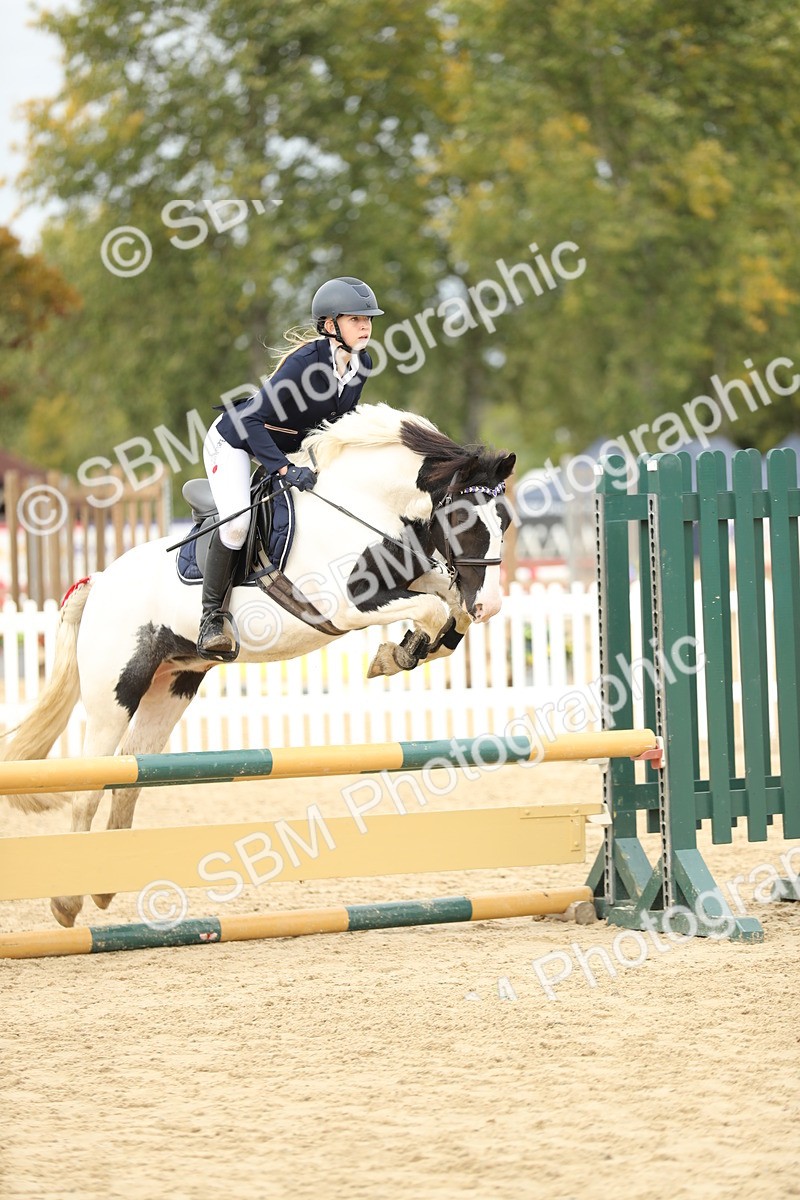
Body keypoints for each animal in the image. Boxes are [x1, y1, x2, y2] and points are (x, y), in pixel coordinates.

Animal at [1, 403, 515, 926]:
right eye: (461, 519)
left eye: (504, 522)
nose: (491, 605)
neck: (368, 506)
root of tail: (99, 581)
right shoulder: (348, 607)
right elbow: (432, 610)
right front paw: (399, 653)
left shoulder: (423, 579)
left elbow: (448, 610)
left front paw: (403, 651)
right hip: (116, 691)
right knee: (92, 779)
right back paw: (68, 902)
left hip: (172, 685)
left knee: (129, 775)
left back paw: (107, 883)